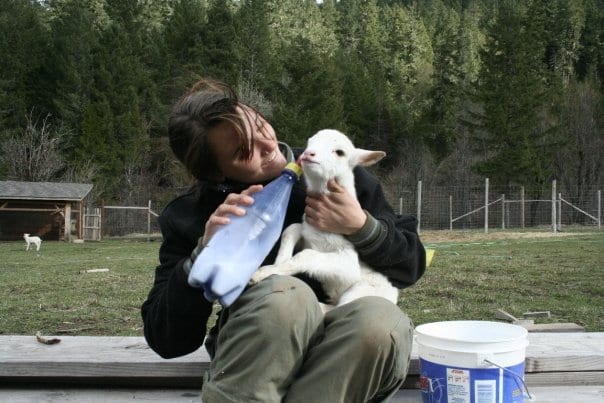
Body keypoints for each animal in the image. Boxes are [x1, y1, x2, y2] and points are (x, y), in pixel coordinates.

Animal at [251, 129, 398, 312]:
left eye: (340, 152)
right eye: (309, 142)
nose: (308, 153)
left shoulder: (348, 262)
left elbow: (306, 255)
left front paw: (261, 274)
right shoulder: (307, 235)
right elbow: (291, 229)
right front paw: (275, 267)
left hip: (362, 290)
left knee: (340, 307)